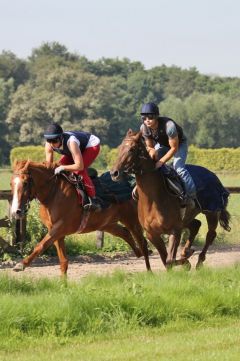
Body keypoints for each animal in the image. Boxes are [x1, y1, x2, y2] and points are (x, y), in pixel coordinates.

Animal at [11, 160, 151, 272]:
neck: (53, 193)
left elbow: (41, 245)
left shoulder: (60, 227)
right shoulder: (55, 230)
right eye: (12, 183)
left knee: (143, 242)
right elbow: (63, 261)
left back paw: (149, 271)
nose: (16, 211)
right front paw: (63, 285)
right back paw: (138, 253)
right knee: (125, 233)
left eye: (25, 183)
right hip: (107, 224)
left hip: (132, 219)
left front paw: (21, 264)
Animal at [110, 129, 231, 268]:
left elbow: (169, 260)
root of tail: (212, 174)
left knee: (210, 234)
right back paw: (186, 251)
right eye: (120, 148)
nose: (114, 173)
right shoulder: (152, 234)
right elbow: (165, 261)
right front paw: (184, 259)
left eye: (132, 149)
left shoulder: (175, 230)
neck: (153, 200)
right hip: (187, 218)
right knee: (196, 225)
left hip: (212, 211)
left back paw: (199, 261)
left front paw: (186, 262)